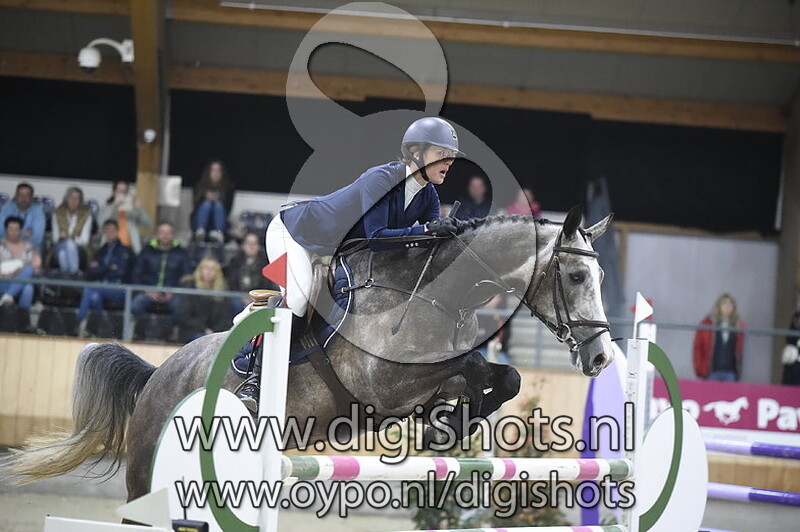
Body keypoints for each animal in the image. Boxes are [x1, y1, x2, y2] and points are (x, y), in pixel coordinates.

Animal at [8, 206, 614, 505]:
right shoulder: (384, 383)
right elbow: (464, 370)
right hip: (146, 465)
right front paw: (446, 424)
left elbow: (504, 378)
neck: (430, 289)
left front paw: (450, 424)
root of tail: (159, 373)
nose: (602, 358)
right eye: (576, 276)